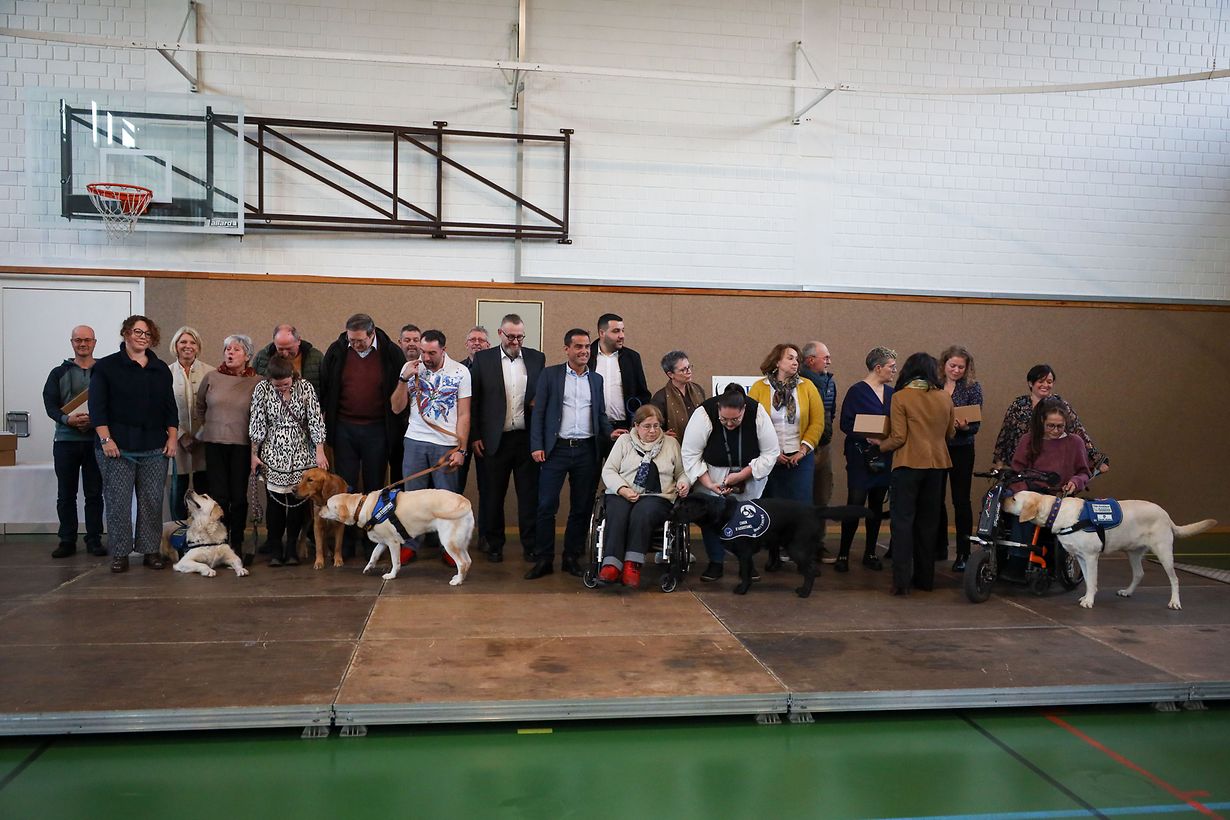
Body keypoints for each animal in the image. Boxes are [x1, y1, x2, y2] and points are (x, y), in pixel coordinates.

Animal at [319, 488, 475, 583]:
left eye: (327, 505)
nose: (318, 511)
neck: (361, 506)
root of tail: (465, 501)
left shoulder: (393, 543)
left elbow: (395, 562)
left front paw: (392, 575)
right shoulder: (382, 542)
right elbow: (374, 554)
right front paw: (369, 567)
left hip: (449, 542)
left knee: (462, 563)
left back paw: (457, 581)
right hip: (460, 543)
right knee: (468, 561)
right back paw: (460, 577)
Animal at [672, 494, 870, 597]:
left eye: (685, 507)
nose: (671, 512)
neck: (722, 513)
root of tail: (816, 509)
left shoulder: (744, 552)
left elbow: (745, 573)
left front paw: (742, 589)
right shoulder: (747, 553)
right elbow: (748, 571)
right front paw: (748, 586)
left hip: (796, 547)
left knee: (811, 570)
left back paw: (804, 591)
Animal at [1004, 490, 1216, 610]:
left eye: (1013, 498)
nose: (1003, 500)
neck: (1055, 512)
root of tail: (1166, 514)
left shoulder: (1091, 557)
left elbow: (1092, 580)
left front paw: (1089, 601)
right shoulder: (1081, 557)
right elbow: (1088, 580)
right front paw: (1087, 596)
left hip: (1164, 552)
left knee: (1175, 579)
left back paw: (1175, 602)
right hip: (1133, 552)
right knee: (1139, 573)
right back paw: (1127, 592)